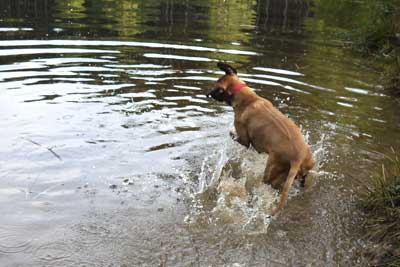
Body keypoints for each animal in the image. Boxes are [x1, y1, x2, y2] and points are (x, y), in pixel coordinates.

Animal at [206, 62, 316, 216]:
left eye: (216, 88)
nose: (207, 94)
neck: (248, 99)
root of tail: (297, 159)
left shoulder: (244, 140)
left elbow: (236, 137)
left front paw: (231, 133)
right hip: (306, 165)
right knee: (302, 179)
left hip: (270, 173)